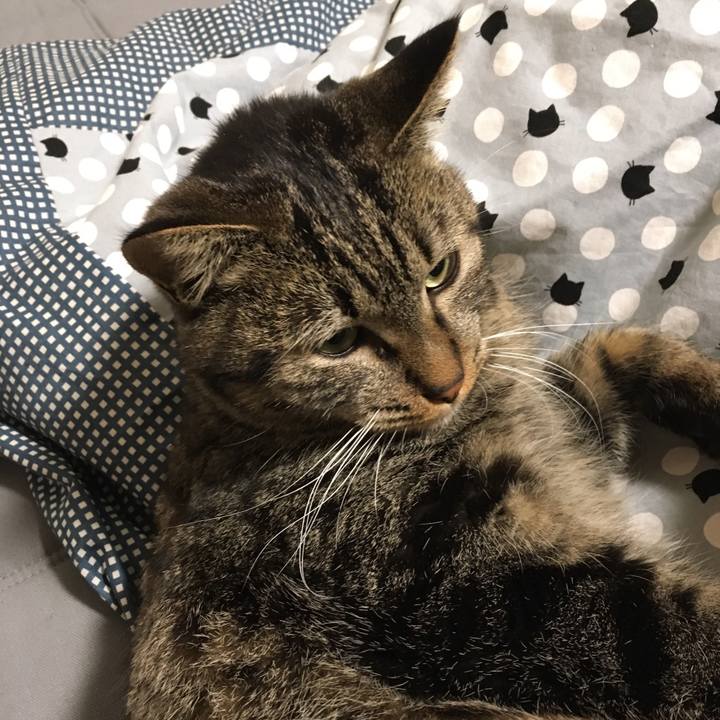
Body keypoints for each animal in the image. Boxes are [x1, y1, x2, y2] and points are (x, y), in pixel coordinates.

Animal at [122, 18, 720, 720]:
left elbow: (627, 345)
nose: (448, 382)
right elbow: (681, 637)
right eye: (341, 341)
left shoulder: (569, 425)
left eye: (440, 272)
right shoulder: (484, 583)